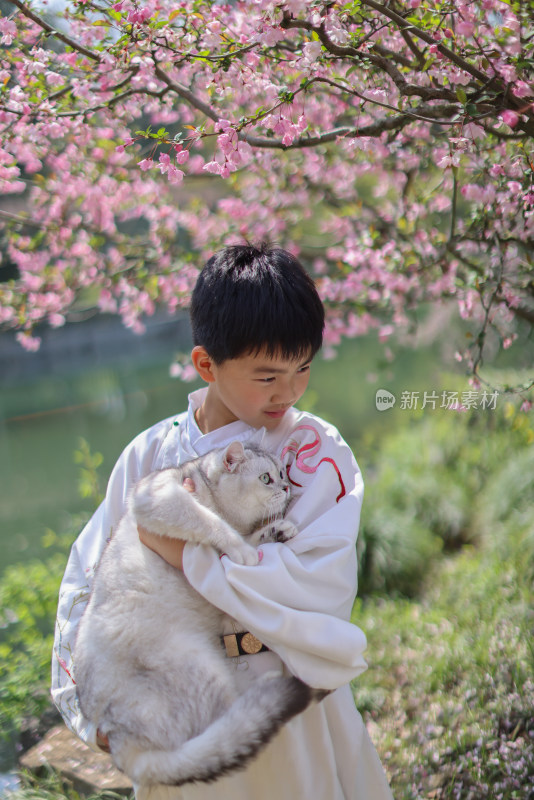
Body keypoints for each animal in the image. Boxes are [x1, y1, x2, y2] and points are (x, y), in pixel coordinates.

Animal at [74, 444, 326, 788]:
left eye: (283, 473)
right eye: (266, 478)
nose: (287, 487)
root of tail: (117, 738)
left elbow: (245, 539)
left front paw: (276, 531)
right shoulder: (161, 495)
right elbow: (213, 523)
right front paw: (244, 547)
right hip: (195, 664)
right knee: (224, 720)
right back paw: (269, 684)